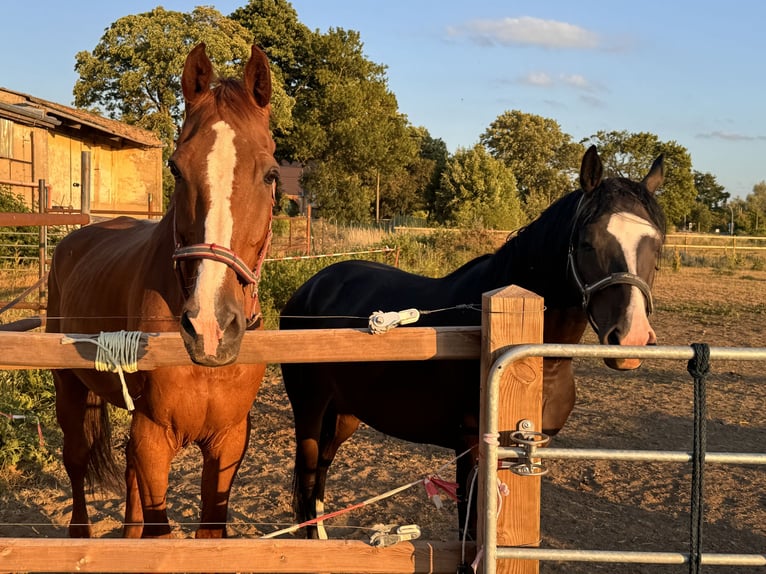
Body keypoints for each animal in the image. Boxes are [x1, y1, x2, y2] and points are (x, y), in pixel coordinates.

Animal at [45, 43, 278, 539]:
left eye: (270, 174)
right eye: (176, 168)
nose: (210, 326)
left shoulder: (228, 441)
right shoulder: (154, 435)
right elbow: (161, 533)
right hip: (70, 389)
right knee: (76, 461)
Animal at [279, 145, 666, 539]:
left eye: (657, 245)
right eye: (587, 242)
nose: (631, 337)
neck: (536, 363)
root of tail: (311, 288)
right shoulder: (471, 451)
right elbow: (470, 532)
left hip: (345, 414)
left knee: (322, 471)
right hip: (310, 410)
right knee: (308, 477)